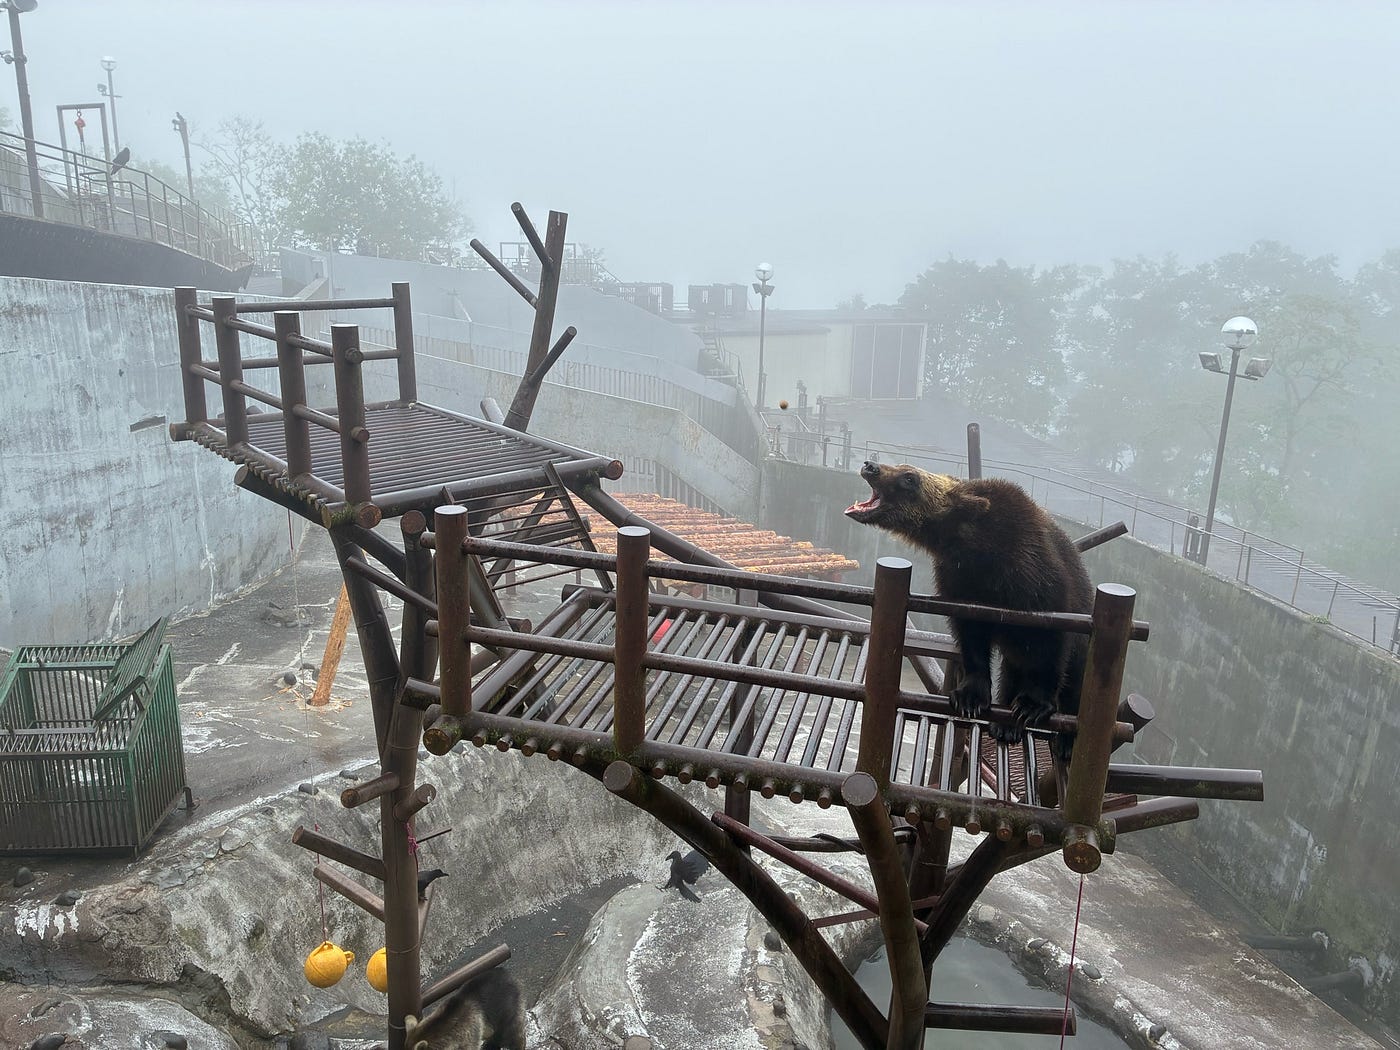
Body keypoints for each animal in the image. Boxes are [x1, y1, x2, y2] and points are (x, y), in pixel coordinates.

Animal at [845, 461, 1093, 758]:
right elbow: (971, 638)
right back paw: (1004, 723)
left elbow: (1050, 647)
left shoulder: (1039, 585)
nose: (870, 465)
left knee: (1073, 678)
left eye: (909, 477)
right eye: (903, 468)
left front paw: (1033, 704)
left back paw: (1064, 737)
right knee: (1013, 668)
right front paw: (970, 697)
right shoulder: (961, 584)